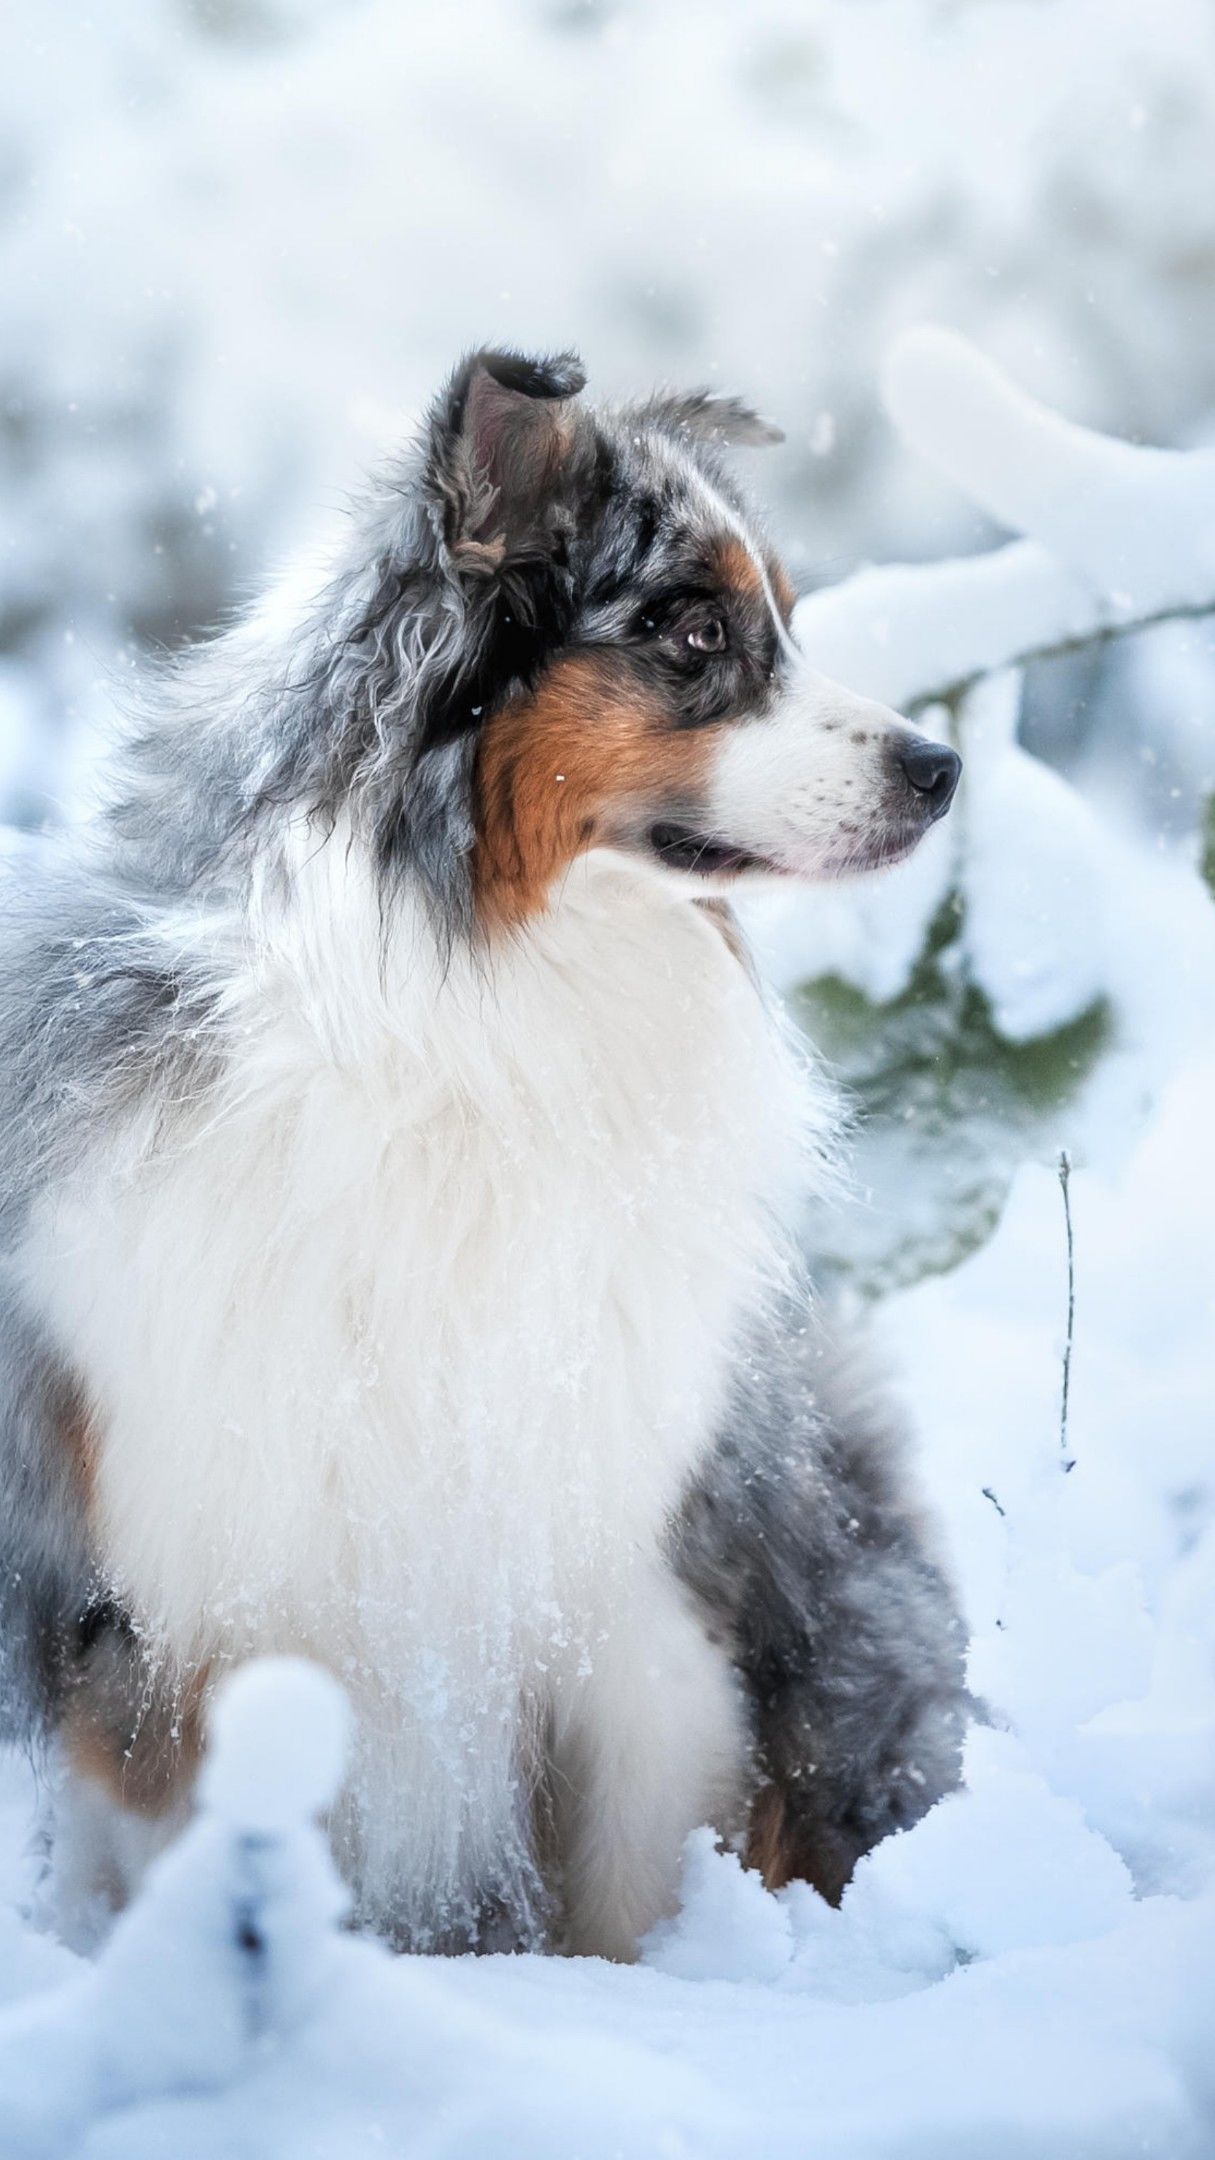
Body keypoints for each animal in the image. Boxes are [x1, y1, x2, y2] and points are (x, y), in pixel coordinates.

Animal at [0, 349, 964, 1961]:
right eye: (694, 631)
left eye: (784, 615)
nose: (941, 766)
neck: (468, 1022)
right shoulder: (186, 1596)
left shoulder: (624, 1581)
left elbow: (634, 1889)